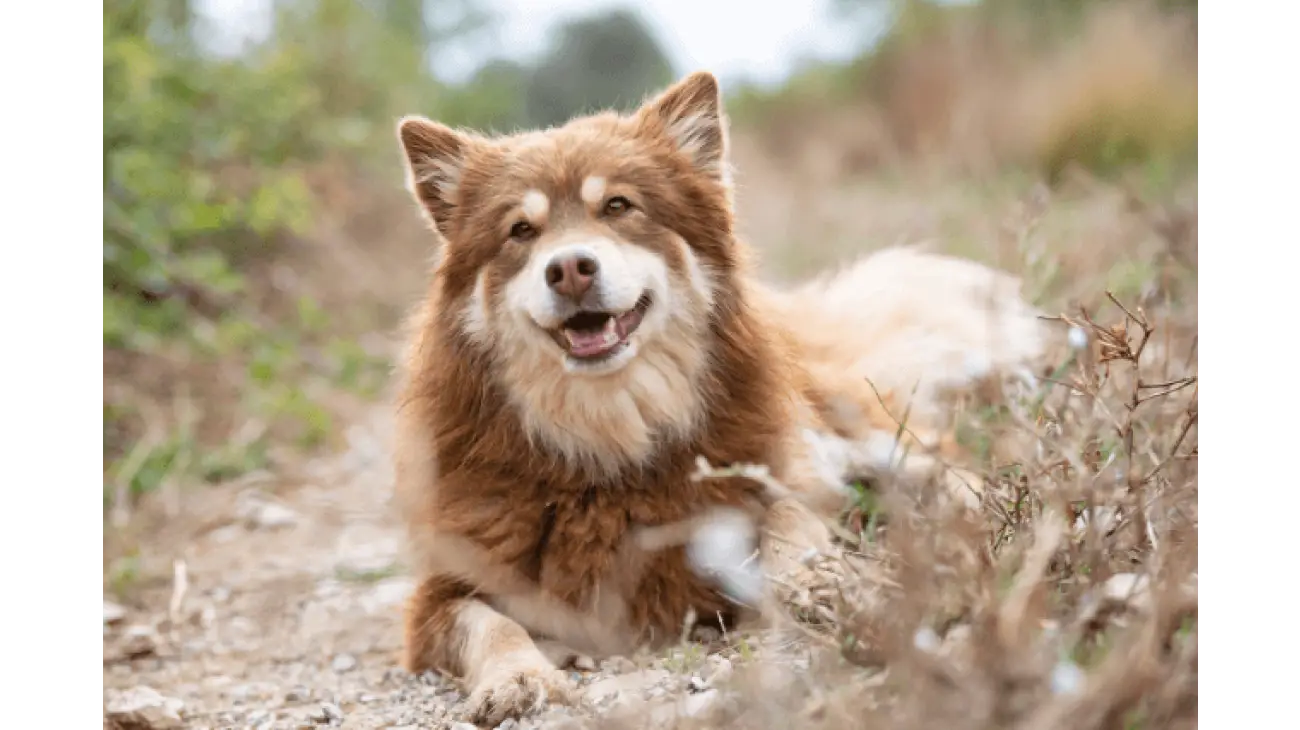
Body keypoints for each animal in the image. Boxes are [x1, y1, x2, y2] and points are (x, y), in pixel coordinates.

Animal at [390, 69, 1050, 722]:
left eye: (618, 206)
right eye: (521, 232)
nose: (570, 268)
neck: (612, 438)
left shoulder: (783, 472)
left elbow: (791, 521)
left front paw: (812, 579)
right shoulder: (443, 594)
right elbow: (488, 625)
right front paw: (520, 676)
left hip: (863, 438)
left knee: (946, 461)